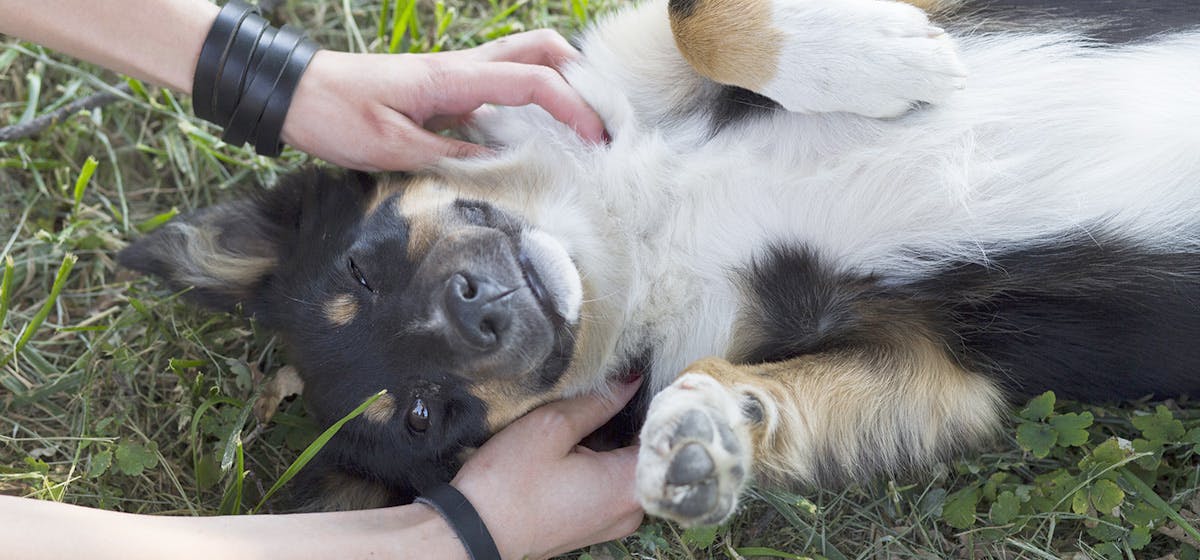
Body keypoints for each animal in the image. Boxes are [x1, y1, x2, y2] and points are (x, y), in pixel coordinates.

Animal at [121, 0, 1200, 525]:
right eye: (430, 413)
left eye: (362, 266)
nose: (479, 313)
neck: (632, 227)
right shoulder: (933, 373)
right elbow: (765, 389)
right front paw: (704, 430)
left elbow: (696, 12)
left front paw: (879, 53)